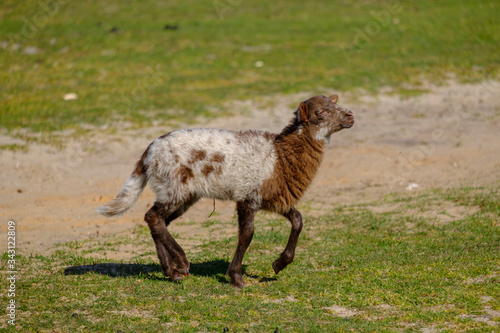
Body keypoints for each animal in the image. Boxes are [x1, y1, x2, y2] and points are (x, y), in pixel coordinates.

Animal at [96, 94, 356, 288]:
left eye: (335, 104)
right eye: (321, 112)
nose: (350, 115)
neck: (280, 157)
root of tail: (148, 152)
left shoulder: (274, 195)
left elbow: (298, 220)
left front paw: (279, 264)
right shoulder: (248, 197)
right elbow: (247, 234)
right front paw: (237, 278)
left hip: (183, 193)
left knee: (157, 220)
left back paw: (173, 271)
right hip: (174, 185)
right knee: (153, 217)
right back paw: (182, 262)